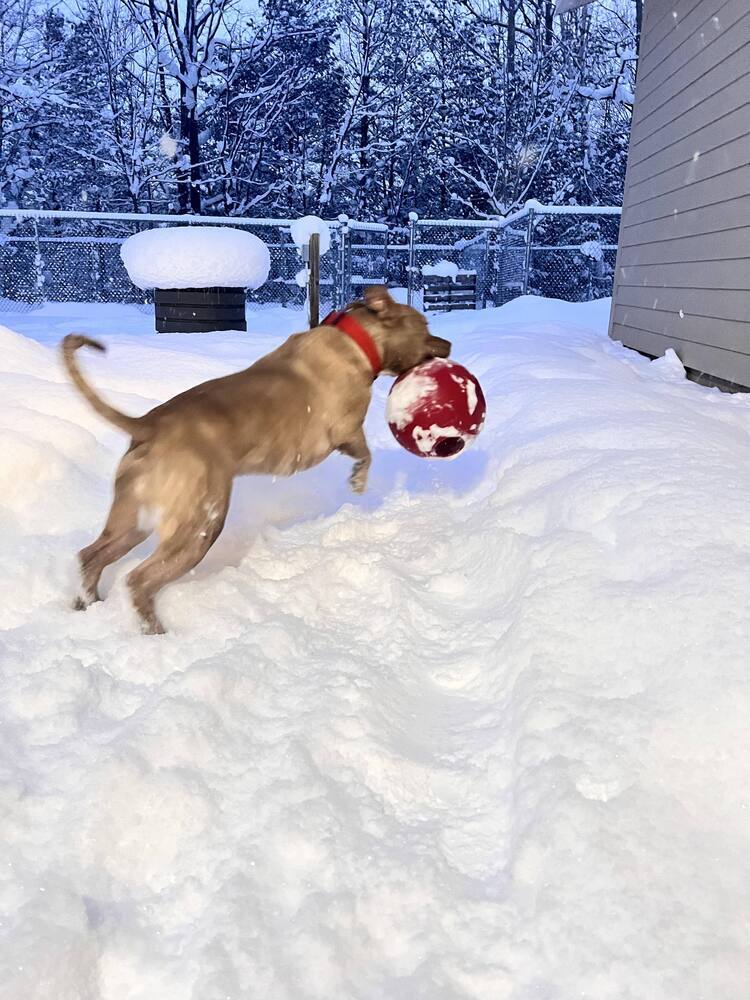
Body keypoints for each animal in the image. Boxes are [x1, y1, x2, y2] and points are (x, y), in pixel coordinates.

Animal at [61, 286, 450, 632]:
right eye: (425, 324)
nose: (448, 345)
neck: (356, 338)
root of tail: (146, 424)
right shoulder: (345, 430)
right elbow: (365, 454)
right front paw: (358, 480)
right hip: (199, 526)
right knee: (138, 580)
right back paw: (155, 631)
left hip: (131, 522)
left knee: (90, 557)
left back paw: (85, 605)